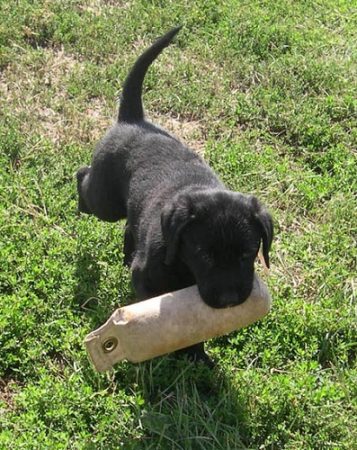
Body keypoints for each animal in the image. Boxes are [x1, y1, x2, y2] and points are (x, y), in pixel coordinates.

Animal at [76, 26, 272, 364]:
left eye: (248, 253)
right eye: (204, 254)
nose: (230, 300)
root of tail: (133, 120)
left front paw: (198, 357)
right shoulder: (146, 279)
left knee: (129, 224)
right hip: (104, 200)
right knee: (83, 178)